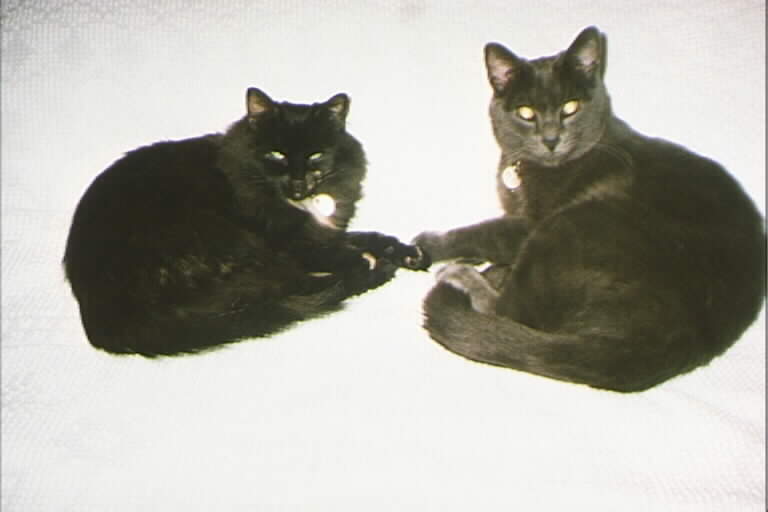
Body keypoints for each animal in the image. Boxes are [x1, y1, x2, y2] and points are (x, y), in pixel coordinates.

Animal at [64, 88, 429, 356]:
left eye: (316, 155)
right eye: (277, 155)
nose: (298, 183)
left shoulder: (320, 232)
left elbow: (363, 236)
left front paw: (406, 251)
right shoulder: (294, 240)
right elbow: (345, 251)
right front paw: (377, 259)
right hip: (228, 245)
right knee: (300, 287)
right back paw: (375, 272)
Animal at [413, 26, 766, 392]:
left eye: (570, 107)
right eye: (526, 113)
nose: (551, 139)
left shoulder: (531, 222)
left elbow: (486, 231)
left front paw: (430, 245)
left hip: (570, 226)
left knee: (513, 310)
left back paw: (459, 275)